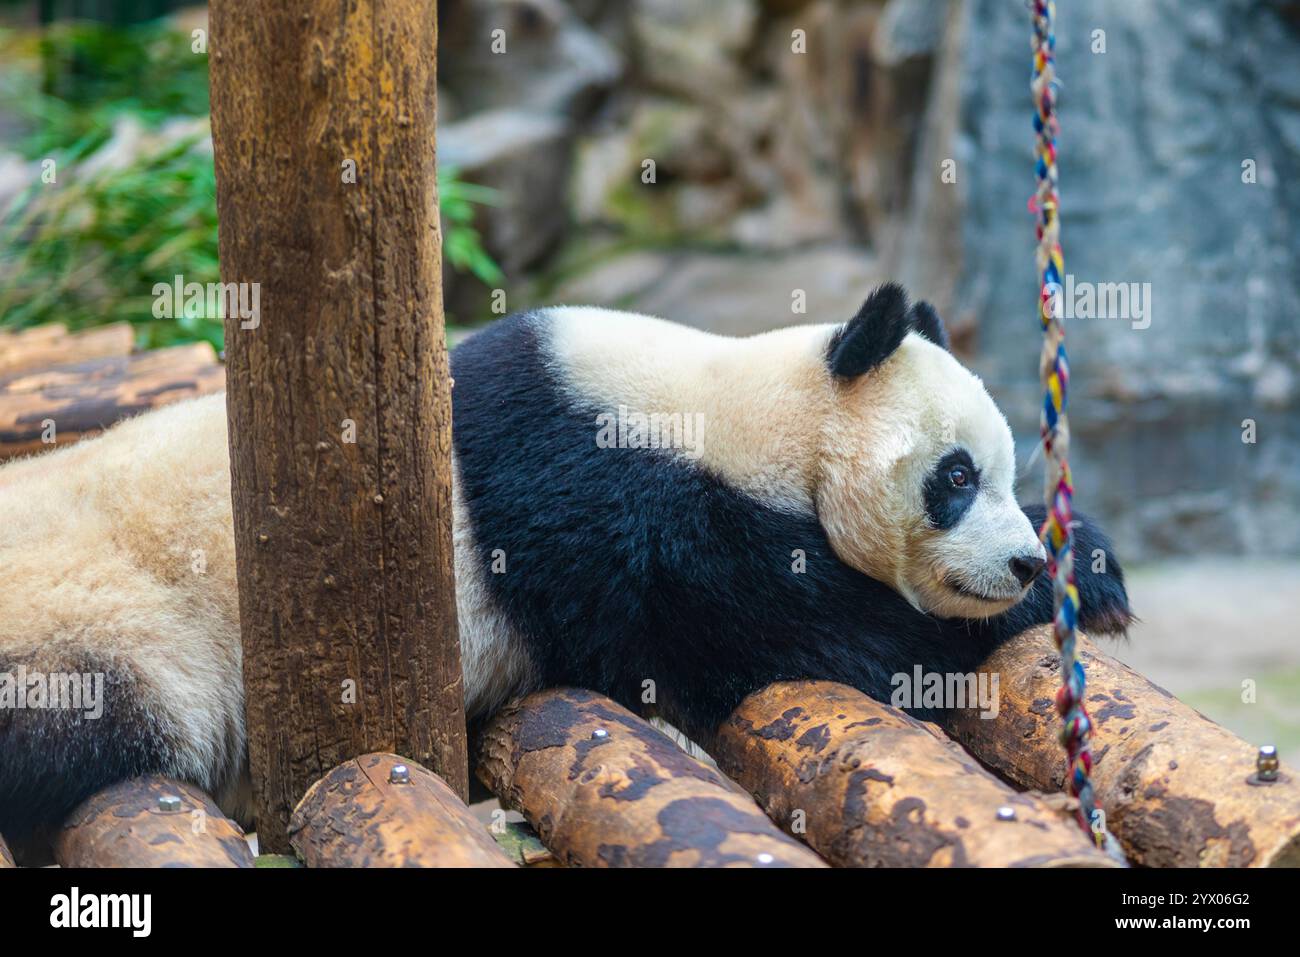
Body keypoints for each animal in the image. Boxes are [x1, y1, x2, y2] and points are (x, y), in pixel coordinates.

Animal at [0, 283, 1128, 858]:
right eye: (954, 476)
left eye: (1004, 468)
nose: (1017, 560)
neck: (744, 410)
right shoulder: (617, 509)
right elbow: (792, 640)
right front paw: (1024, 602)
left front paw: (1087, 562)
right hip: (101, 616)